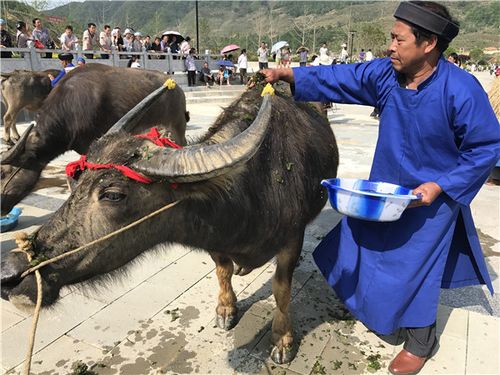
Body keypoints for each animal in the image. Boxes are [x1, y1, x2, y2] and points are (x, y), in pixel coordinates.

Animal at [0, 87, 338, 364]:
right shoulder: (215, 244)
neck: (250, 189)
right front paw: (226, 310)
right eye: (76, 179)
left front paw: (282, 340)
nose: (10, 272)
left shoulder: (291, 240)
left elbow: (281, 289)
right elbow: (223, 270)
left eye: (113, 195)